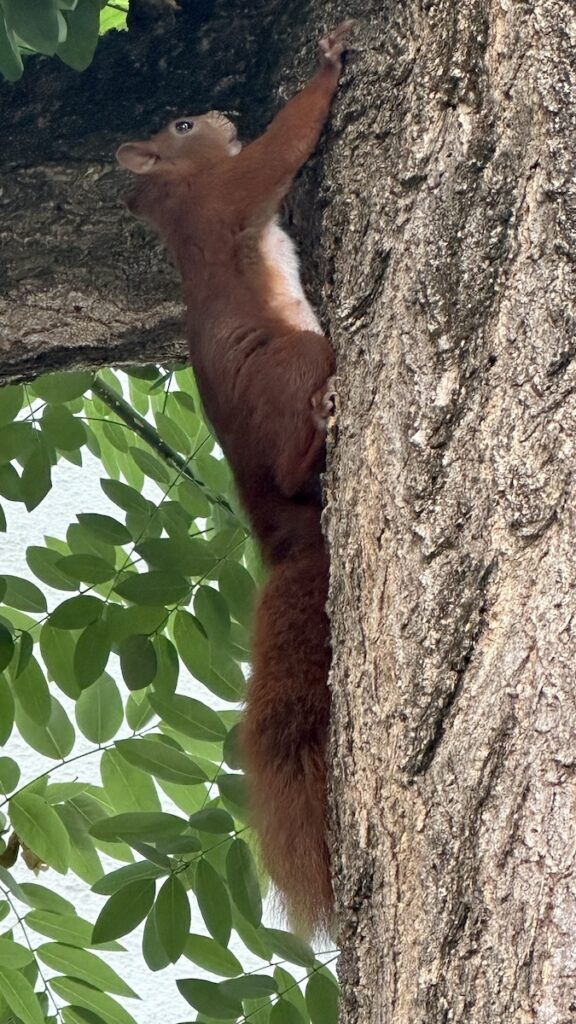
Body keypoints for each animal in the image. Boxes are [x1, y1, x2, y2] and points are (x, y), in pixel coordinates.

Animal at [115, 19, 350, 937]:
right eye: (180, 126)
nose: (215, 113)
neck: (179, 199)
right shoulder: (229, 196)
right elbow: (281, 148)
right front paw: (328, 63)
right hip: (294, 363)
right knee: (295, 438)